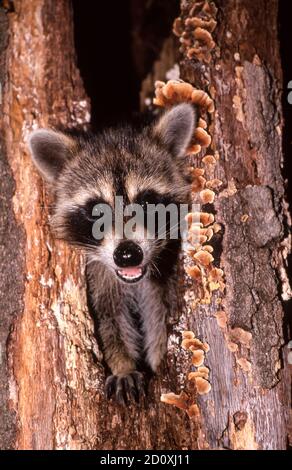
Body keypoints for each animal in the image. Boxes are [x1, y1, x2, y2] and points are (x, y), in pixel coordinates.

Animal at [28, 103, 196, 404]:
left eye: (146, 202)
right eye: (97, 210)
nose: (128, 254)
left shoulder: (162, 277)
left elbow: (159, 316)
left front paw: (157, 361)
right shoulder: (98, 276)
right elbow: (108, 320)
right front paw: (122, 365)